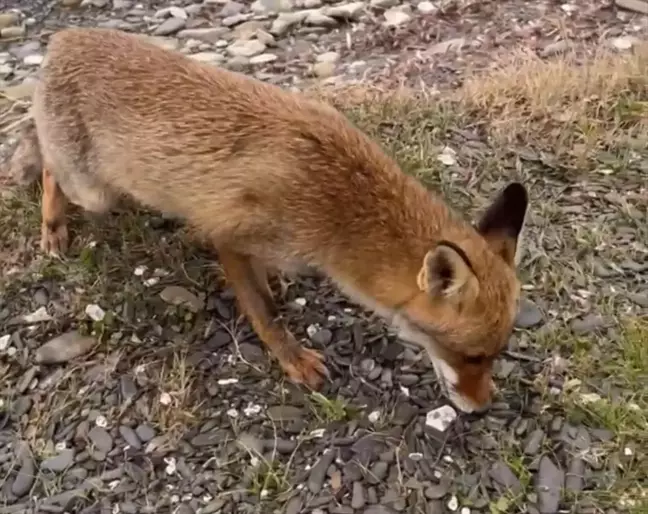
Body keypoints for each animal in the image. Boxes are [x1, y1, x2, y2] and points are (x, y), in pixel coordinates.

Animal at [6, 27, 532, 412]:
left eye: (495, 355)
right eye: (472, 356)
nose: (483, 408)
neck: (338, 204)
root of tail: (65, 35)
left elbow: (265, 283)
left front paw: (274, 282)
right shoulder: (226, 234)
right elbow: (265, 314)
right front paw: (292, 359)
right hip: (92, 191)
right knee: (49, 167)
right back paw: (52, 227)